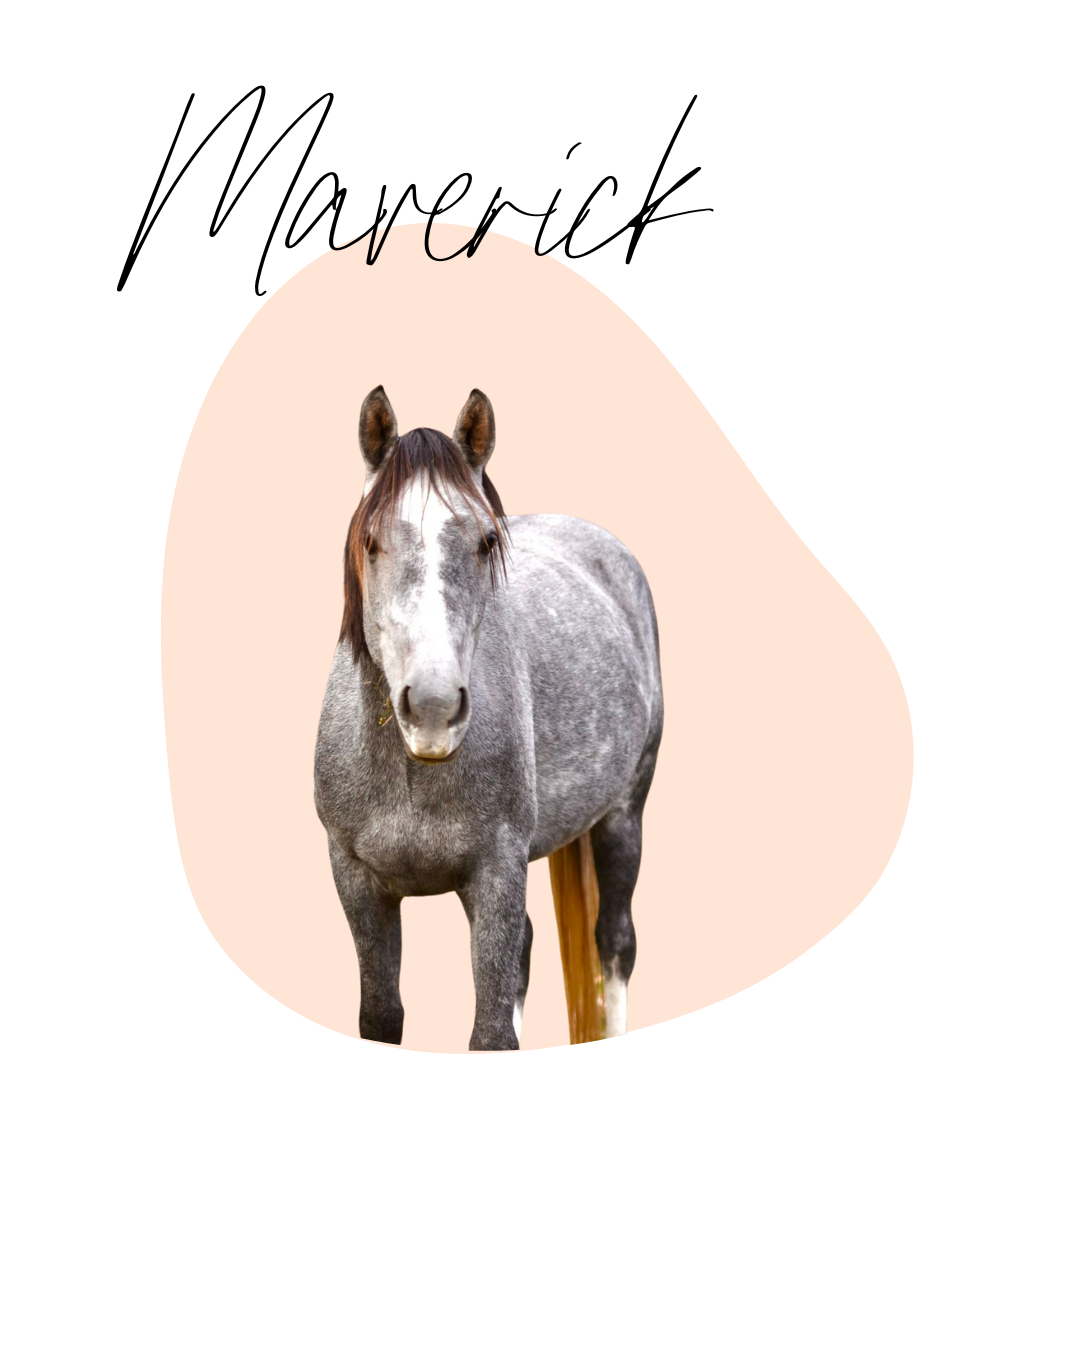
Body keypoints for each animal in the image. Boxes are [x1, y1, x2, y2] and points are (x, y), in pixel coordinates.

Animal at [314, 387, 663, 1051]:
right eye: (370, 541)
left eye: (484, 542)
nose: (432, 708)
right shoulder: (357, 884)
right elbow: (382, 1016)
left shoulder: (497, 871)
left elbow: (492, 1028)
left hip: (623, 816)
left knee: (615, 947)